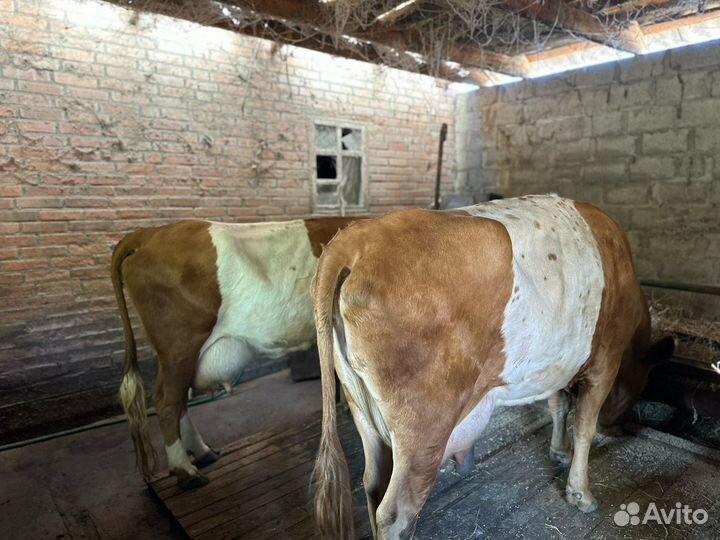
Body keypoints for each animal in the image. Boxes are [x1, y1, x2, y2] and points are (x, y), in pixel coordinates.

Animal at [111, 216, 357, 489]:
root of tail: (149, 234)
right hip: (179, 346)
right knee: (167, 401)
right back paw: (185, 471)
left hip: (180, 356)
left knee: (179, 400)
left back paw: (202, 452)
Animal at [311, 195, 674, 540]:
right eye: (640, 385)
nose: (618, 428)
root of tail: (358, 237)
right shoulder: (605, 362)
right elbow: (584, 426)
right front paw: (580, 493)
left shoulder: (557, 364)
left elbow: (557, 405)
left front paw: (559, 451)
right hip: (424, 429)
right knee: (396, 515)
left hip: (362, 409)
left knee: (372, 484)